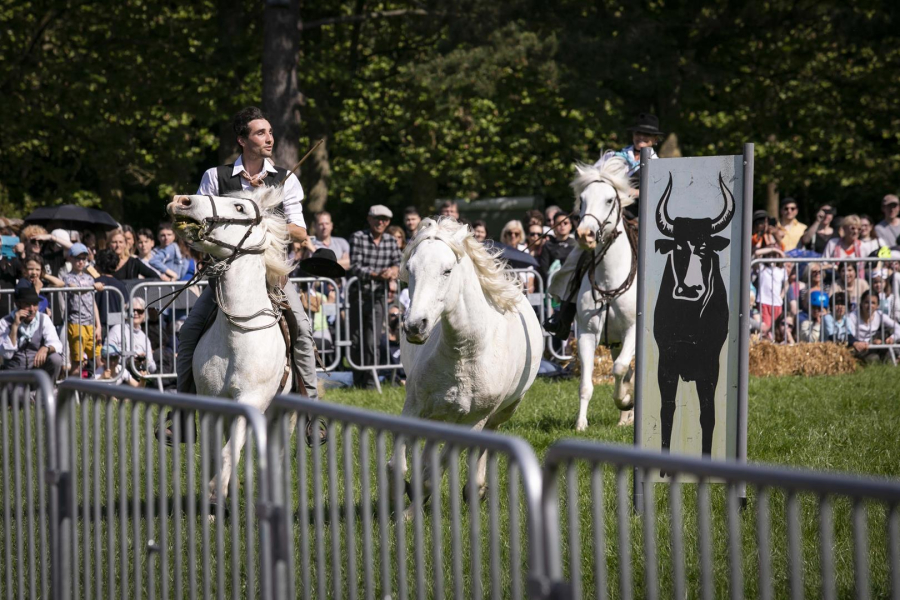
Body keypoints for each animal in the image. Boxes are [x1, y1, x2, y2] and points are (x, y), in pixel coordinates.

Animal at [167, 188, 294, 496]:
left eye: (239, 207)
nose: (181, 201)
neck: (237, 337)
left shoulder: (251, 400)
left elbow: (228, 451)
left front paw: (217, 489)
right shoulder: (212, 401)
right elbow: (216, 453)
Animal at [392, 218, 540, 500]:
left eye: (447, 271)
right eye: (409, 268)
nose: (415, 326)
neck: (465, 353)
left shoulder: (473, 421)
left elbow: (436, 472)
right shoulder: (415, 406)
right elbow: (397, 465)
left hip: (502, 411)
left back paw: (477, 488)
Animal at [568, 158, 640, 432]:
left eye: (609, 200)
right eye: (582, 199)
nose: (584, 235)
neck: (610, 281)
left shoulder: (633, 331)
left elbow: (619, 369)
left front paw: (625, 400)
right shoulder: (587, 334)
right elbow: (586, 385)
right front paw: (581, 424)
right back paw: (623, 420)